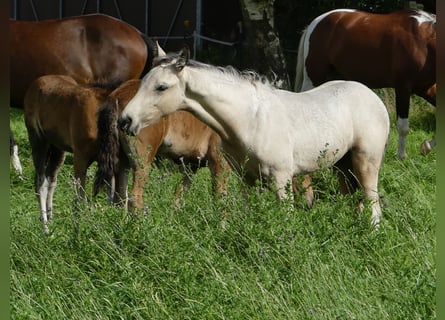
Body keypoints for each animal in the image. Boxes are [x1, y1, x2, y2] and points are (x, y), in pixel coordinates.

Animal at [91, 79, 227, 211]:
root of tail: (117, 95)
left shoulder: (192, 165)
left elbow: (178, 197)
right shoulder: (219, 162)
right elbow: (219, 199)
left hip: (122, 162)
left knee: (119, 199)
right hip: (142, 161)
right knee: (134, 197)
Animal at [118, 49, 388, 225]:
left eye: (161, 87)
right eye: (143, 82)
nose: (125, 120)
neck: (250, 119)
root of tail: (373, 98)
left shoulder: (281, 179)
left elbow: (285, 220)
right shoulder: (245, 178)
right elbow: (246, 212)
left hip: (366, 162)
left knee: (373, 205)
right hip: (343, 166)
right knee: (355, 200)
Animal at [294, 7, 436, 158]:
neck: (422, 42)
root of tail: (316, 22)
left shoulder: (426, 88)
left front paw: (426, 147)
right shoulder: (403, 87)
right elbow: (403, 126)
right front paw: (402, 156)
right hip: (313, 78)